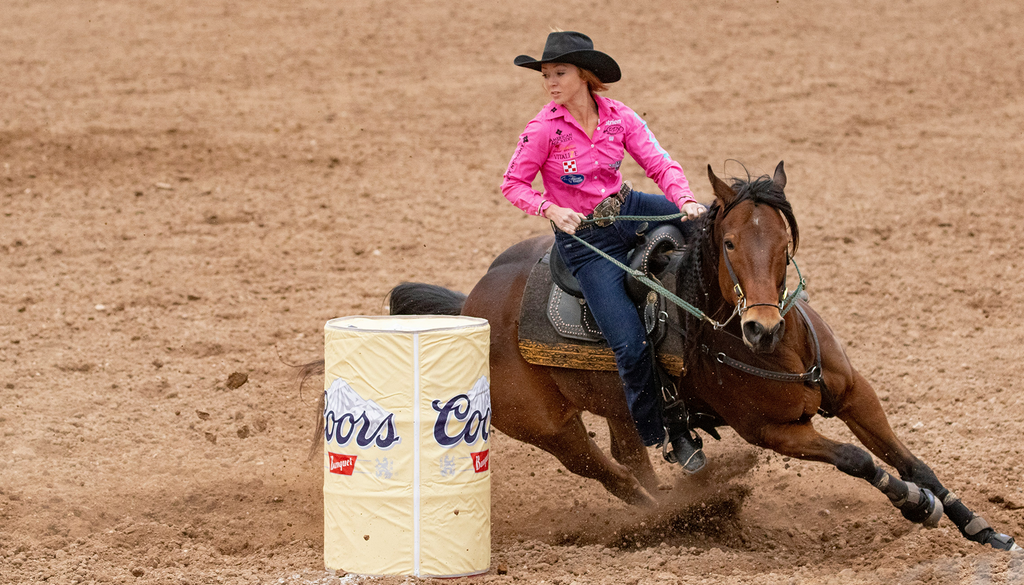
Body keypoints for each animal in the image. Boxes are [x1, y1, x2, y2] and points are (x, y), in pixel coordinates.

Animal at [301, 162, 1015, 553]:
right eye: (728, 243)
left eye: (783, 241)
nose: (760, 329)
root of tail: (472, 301)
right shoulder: (774, 431)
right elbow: (860, 460)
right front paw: (913, 505)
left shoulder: (853, 392)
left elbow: (910, 457)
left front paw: (982, 527)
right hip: (548, 426)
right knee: (612, 475)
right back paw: (674, 518)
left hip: (619, 403)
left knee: (632, 455)